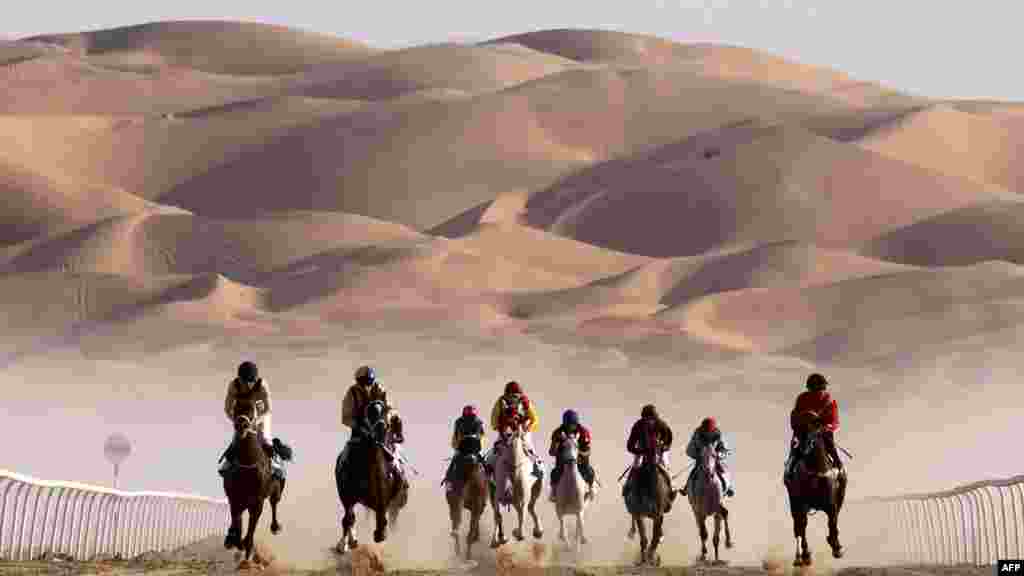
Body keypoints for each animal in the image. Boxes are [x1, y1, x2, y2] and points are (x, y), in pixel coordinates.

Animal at [223, 393, 286, 565]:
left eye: (252, 408)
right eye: (236, 407)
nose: (241, 425)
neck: (247, 464)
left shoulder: (257, 502)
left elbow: (251, 526)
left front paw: (247, 547)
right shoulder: (235, 498)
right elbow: (236, 520)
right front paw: (233, 539)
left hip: (276, 491)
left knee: (274, 504)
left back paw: (275, 527)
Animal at [331, 399, 403, 553]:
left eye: (390, 422)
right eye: (369, 417)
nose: (380, 429)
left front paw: (381, 533)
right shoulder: (347, 494)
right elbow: (348, 518)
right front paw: (343, 545)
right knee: (350, 516)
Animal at [782, 407, 847, 565]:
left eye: (815, 427)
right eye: (799, 427)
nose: (803, 447)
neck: (816, 470)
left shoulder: (831, 503)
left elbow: (832, 521)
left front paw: (836, 546)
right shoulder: (801, 503)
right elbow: (802, 525)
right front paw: (805, 554)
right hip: (794, 503)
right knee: (798, 526)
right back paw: (800, 556)